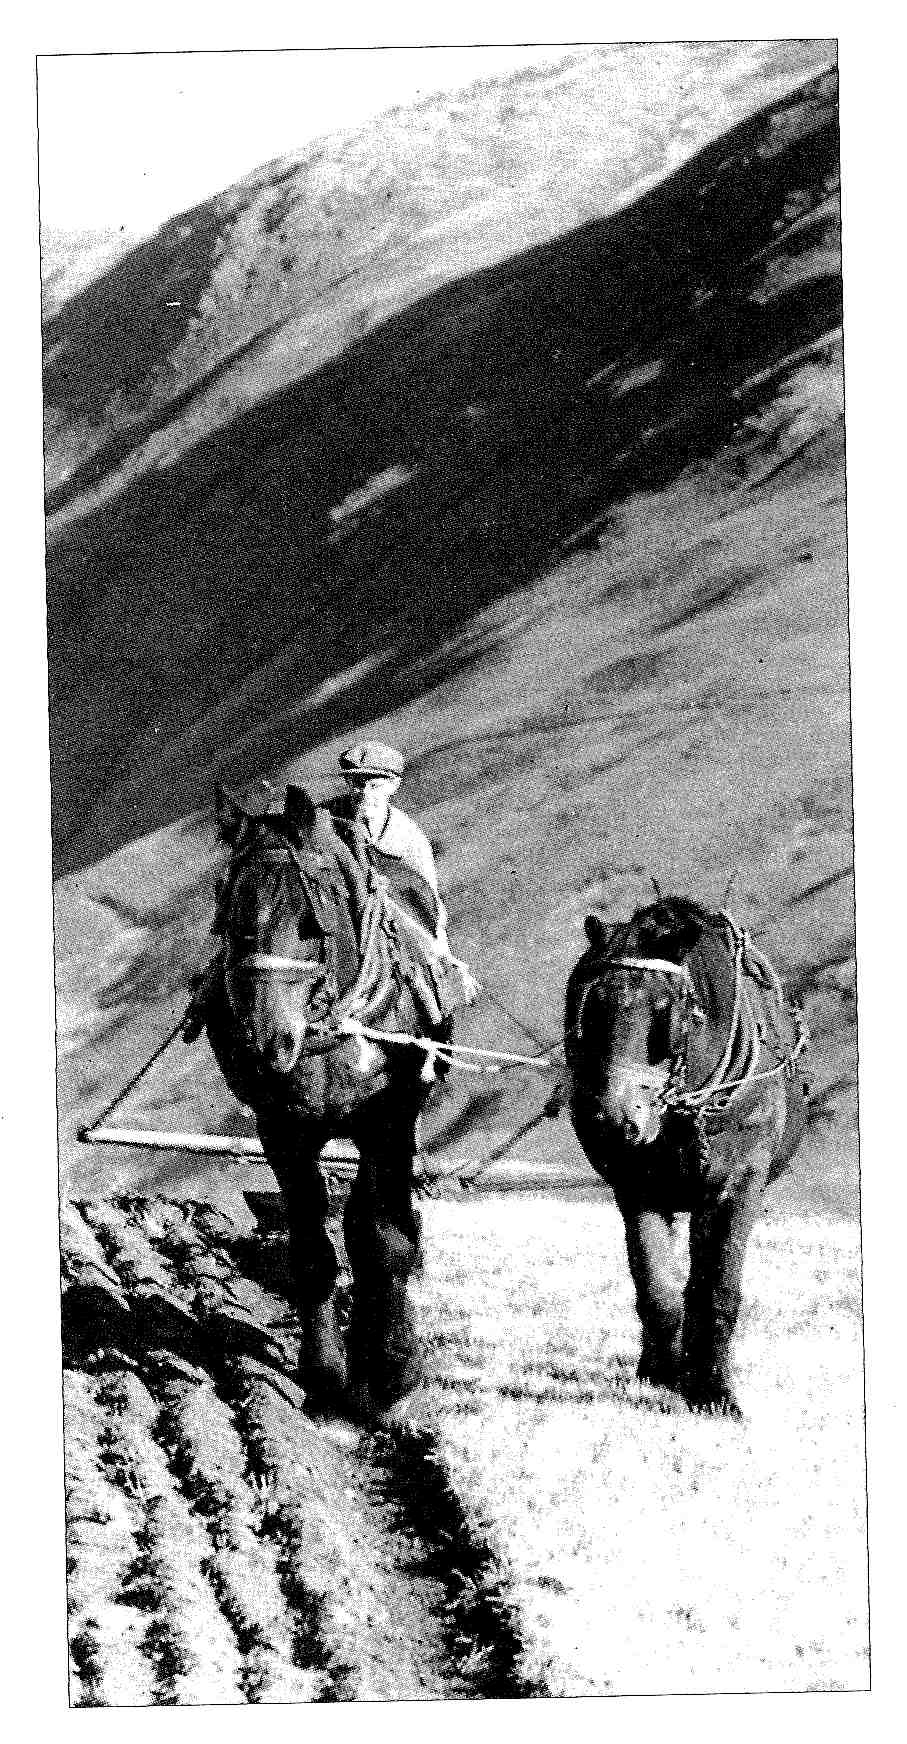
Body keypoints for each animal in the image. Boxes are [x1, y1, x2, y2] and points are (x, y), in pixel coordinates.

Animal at [191, 784, 460, 1423]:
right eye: (229, 915)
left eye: (310, 923)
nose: (263, 1045)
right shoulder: (282, 1130)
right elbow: (312, 1243)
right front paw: (327, 1374)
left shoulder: (388, 1118)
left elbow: (381, 1235)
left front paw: (391, 1372)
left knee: (378, 1221)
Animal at [561, 899, 812, 1416]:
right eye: (590, 1007)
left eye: (667, 1013)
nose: (615, 1122)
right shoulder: (637, 1188)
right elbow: (657, 1286)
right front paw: (662, 1377)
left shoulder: (737, 1188)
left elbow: (716, 1288)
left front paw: (715, 1390)